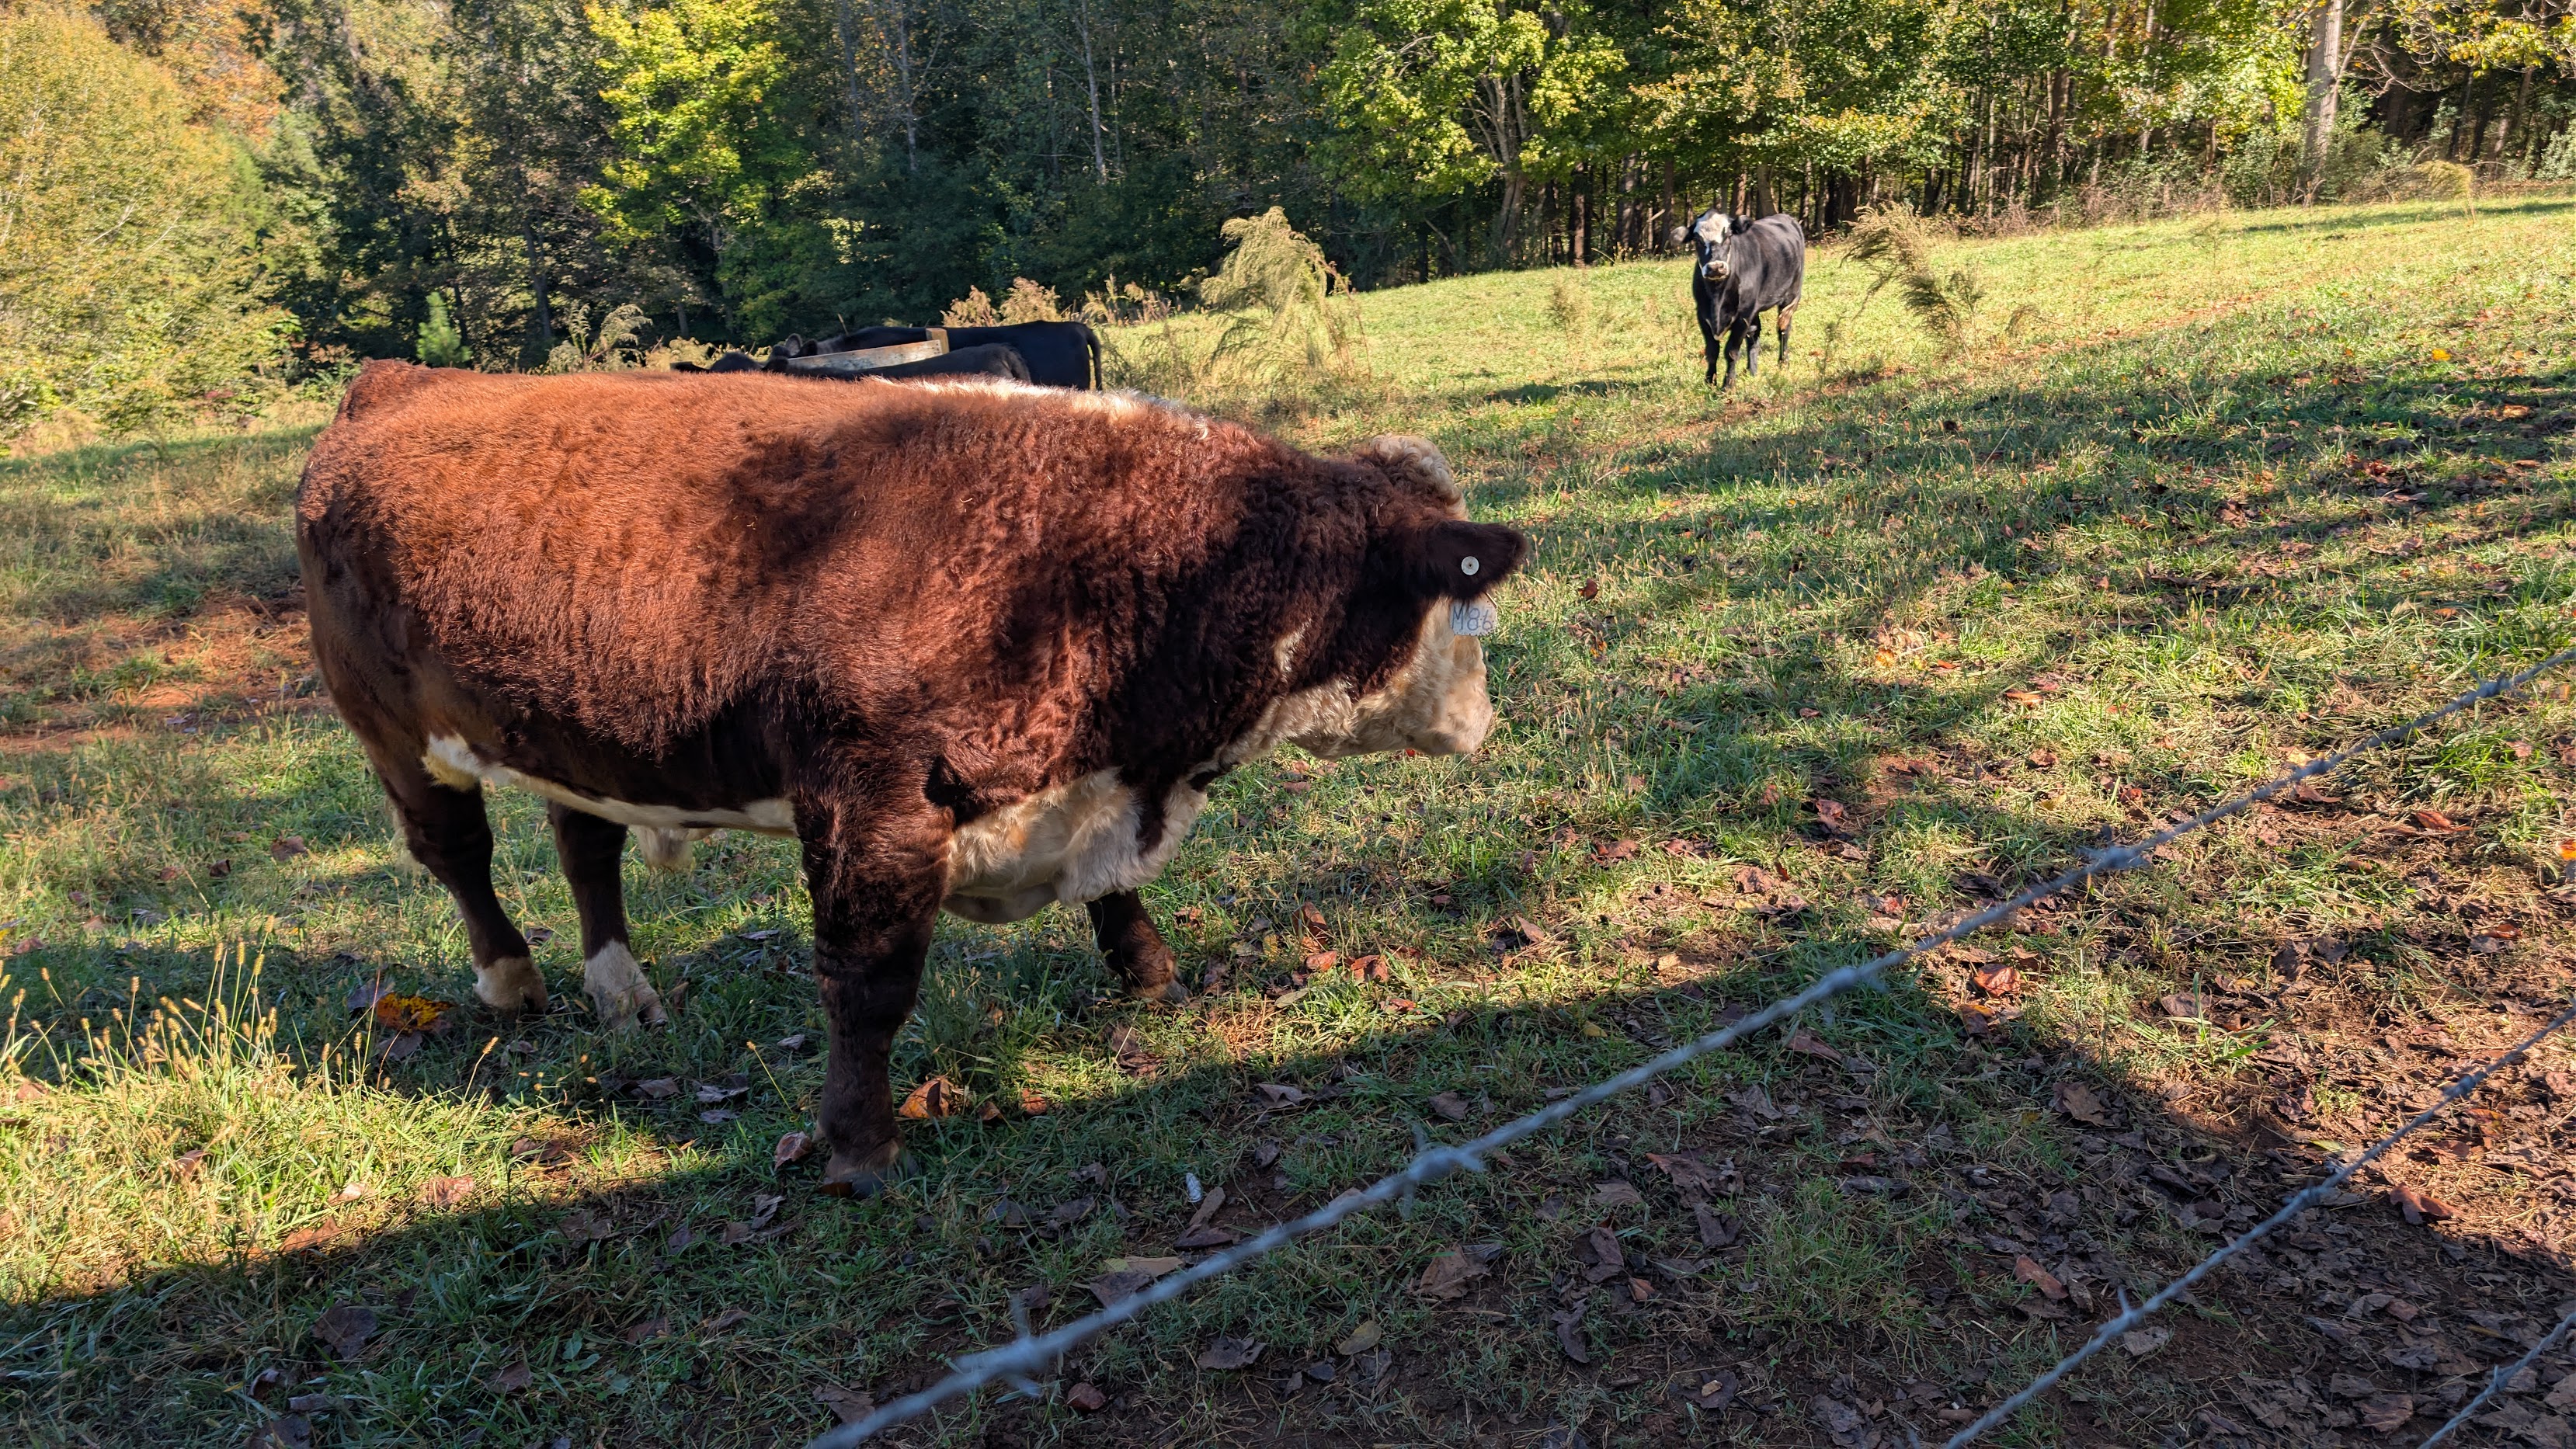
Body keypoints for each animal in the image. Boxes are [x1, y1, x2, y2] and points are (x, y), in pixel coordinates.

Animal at [297, 362, 1527, 1196]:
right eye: (1462, 599)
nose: (1483, 717)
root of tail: (398, 381)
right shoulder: (867, 803)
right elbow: (868, 986)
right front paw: (859, 1144)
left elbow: (1113, 896)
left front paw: (1147, 972)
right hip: (389, 727)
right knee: (458, 851)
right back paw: (512, 981)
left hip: (573, 729)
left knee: (583, 846)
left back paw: (623, 992)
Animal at [1670, 211, 1804, 388]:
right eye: (1697, 239)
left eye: (1728, 236)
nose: (1716, 267)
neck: (1718, 296)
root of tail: (1785, 217)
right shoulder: (1703, 314)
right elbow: (1712, 350)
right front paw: (1710, 381)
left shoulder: (1743, 315)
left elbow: (1731, 352)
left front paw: (1728, 385)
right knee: (1754, 335)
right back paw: (1751, 371)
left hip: (1790, 296)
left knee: (1783, 330)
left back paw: (1783, 363)